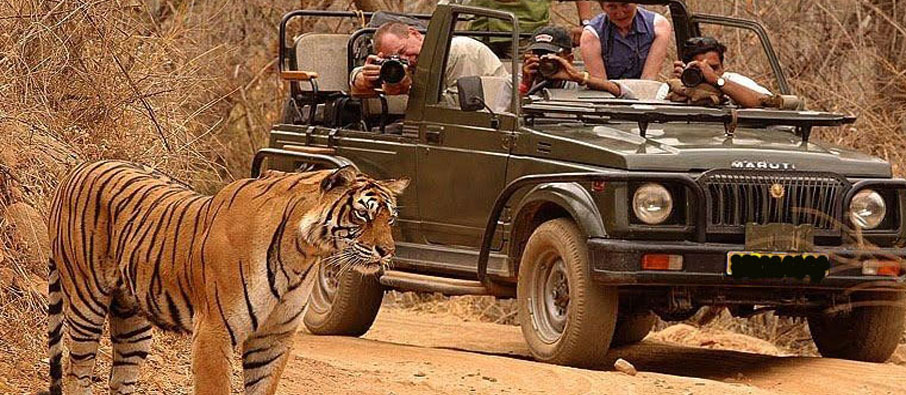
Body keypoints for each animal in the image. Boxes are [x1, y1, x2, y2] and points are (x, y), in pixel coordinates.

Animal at [45, 159, 406, 394]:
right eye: (362, 214)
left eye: (390, 218)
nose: (387, 251)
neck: (302, 253)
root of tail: (75, 170)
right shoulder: (214, 331)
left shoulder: (274, 337)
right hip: (86, 303)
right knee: (77, 372)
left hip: (133, 320)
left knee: (121, 377)